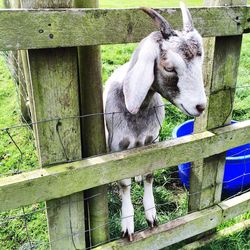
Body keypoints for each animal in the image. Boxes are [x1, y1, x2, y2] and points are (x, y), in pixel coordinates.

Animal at [103, 1, 207, 240]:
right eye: (169, 67)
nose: (200, 106)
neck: (138, 113)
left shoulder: (153, 140)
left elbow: (150, 173)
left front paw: (151, 215)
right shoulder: (117, 147)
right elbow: (124, 183)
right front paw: (128, 224)